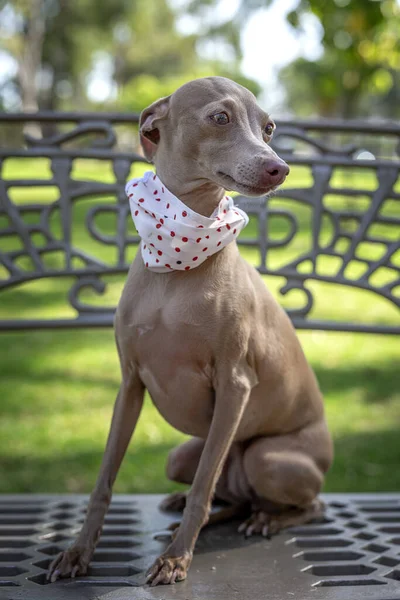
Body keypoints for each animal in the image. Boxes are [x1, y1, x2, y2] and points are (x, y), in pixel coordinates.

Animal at [48, 76, 332, 584]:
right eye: (219, 117)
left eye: (269, 127)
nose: (279, 168)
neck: (178, 260)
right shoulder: (130, 384)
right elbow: (104, 481)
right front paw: (78, 552)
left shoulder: (235, 384)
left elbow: (205, 486)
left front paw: (175, 558)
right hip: (182, 454)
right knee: (227, 492)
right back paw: (200, 506)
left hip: (267, 457)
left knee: (305, 503)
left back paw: (268, 519)